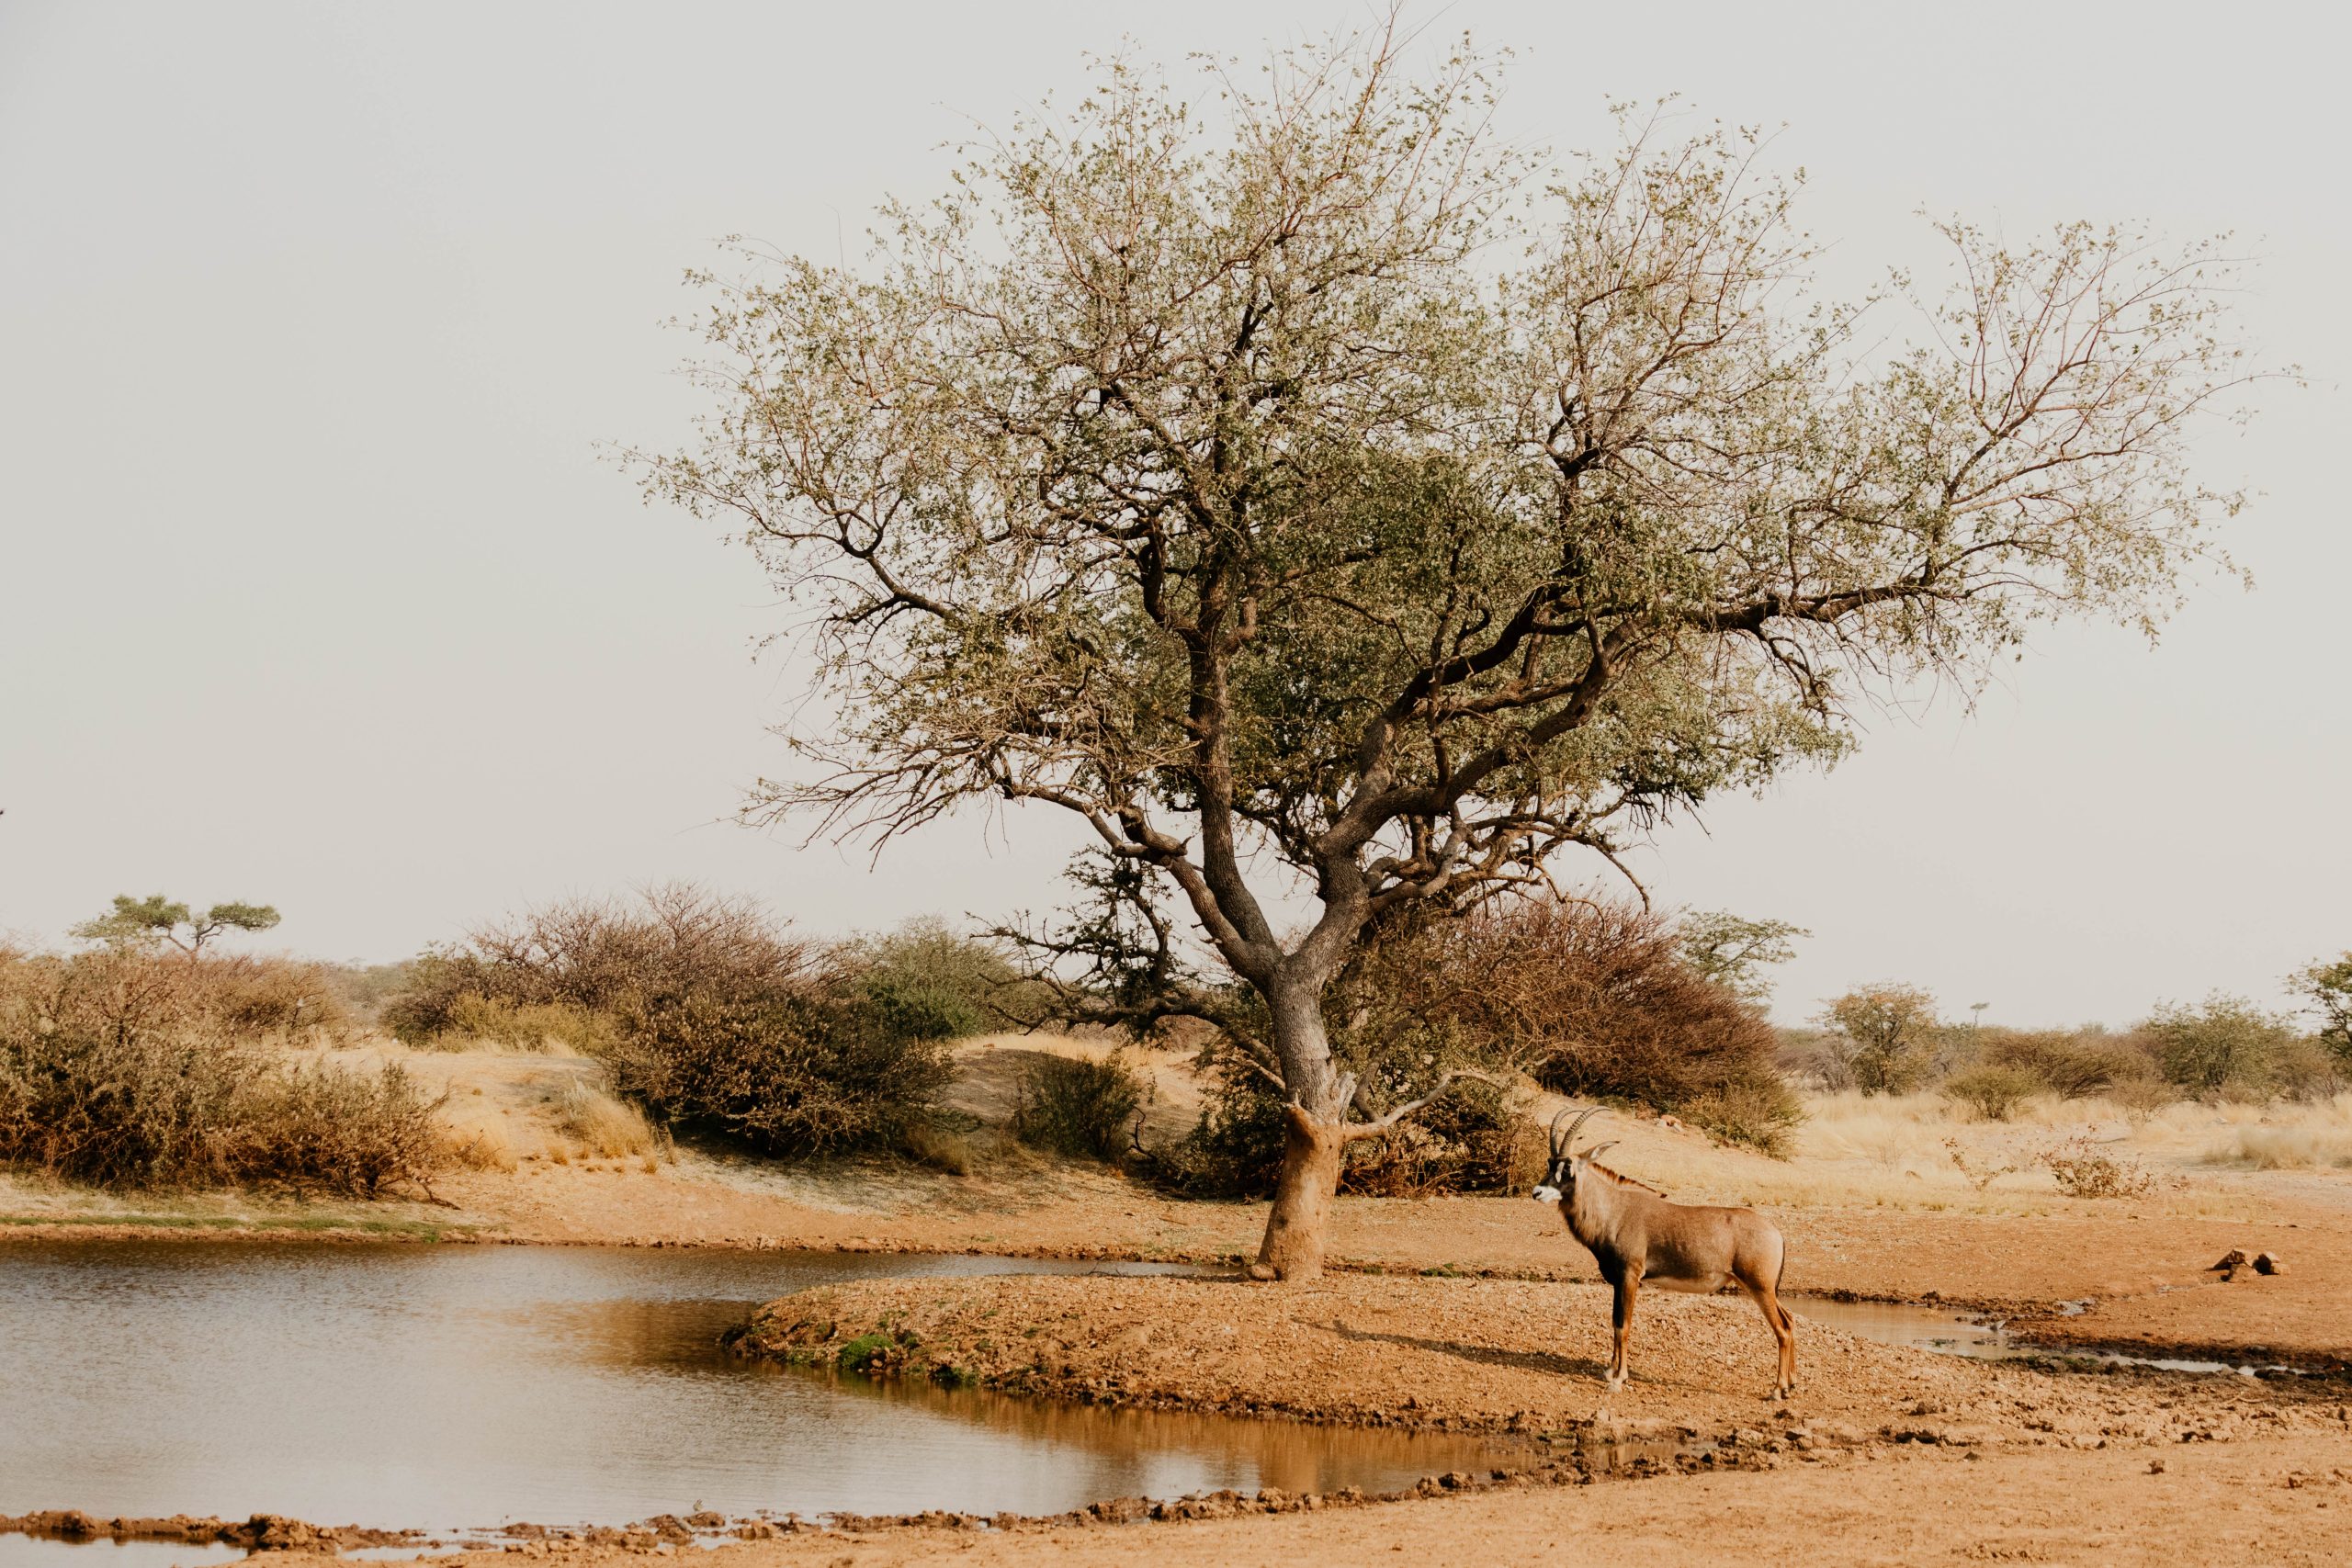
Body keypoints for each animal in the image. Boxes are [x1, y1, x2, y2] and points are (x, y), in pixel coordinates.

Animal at [1533, 1107, 1796, 1399]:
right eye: (1549, 1163)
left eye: (1567, 1166)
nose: (1537, 1192)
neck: (1615, 1209)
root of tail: (1776, 1233)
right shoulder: (1618, 1281)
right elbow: (1615, 1322)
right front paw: (1610, 1371)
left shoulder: (1630, 1277)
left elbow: (1624, 1325)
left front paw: (1619, 1379)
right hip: (1764, 1288)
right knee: (1790, 1320)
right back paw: (1790, 1384)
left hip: (1759, 1287)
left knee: (1782, 1329)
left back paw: (1777, 1390)